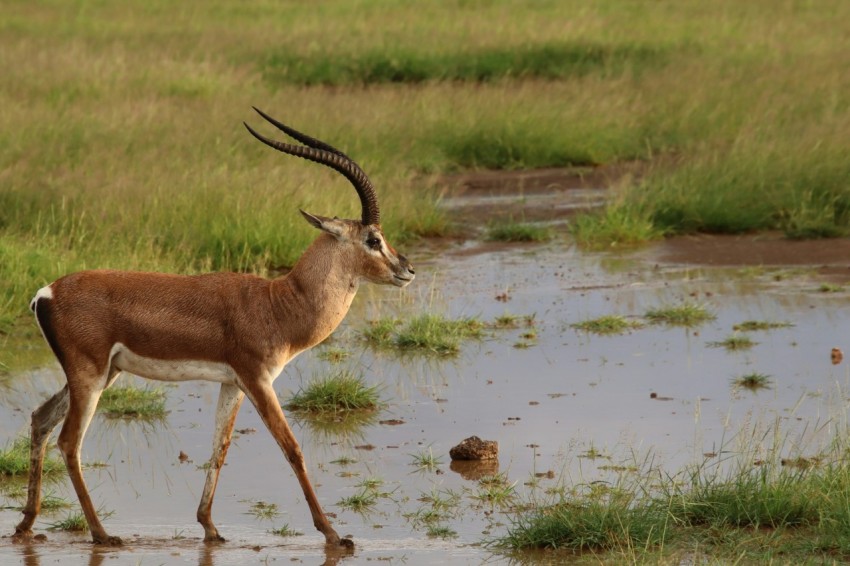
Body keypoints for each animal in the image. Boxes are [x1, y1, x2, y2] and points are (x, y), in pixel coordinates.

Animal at [12, 107, 414, 550]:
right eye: (373, 239)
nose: (408, 269)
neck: (278, 303)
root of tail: (45, 293)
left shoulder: (231, 383)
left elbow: (219, 446)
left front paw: (209, 527)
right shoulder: (258, 379)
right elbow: (291, 448)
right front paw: (334, 534)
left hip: (102, 374)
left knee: (40, 419)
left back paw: (26, 524)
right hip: (90, 376)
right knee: (69, 442)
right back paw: (103, 534)